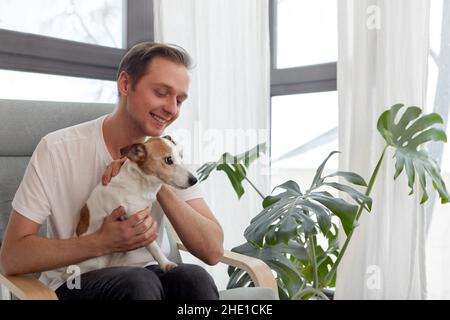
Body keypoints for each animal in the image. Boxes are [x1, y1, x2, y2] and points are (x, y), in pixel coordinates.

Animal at [74, 135, 196, 272]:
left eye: (181, 156)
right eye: (169, 160)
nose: (194, 180)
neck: (139, 183)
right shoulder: (137, 222)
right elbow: (154, 247)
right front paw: (165, 263)